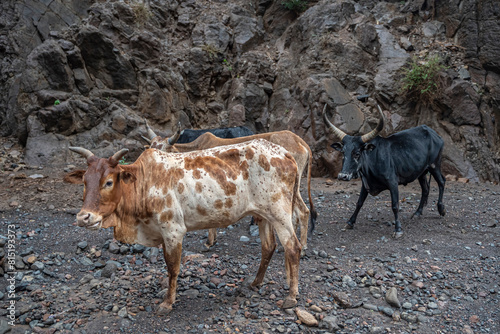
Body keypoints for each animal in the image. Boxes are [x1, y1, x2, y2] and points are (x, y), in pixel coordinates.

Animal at [64, 140, 302, 314]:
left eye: (109, 182)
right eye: (84, 182)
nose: (84, 217)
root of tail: (284, 152)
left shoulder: (173, 230)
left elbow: (173, 267)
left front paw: (167, 303)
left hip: (280, 214)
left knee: (293, 247)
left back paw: (291, 297)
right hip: (263, 215)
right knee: (268, 247)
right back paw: (255, 283)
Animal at [324, 104, 446, 237]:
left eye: (357, 153)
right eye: (343, 153)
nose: (343, 176)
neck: (373, 158)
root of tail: (435, 134)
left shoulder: (393, 183)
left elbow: (395, 205)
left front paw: (398, 229)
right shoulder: (365, 184)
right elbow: (359, 202)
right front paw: (350, 222)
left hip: (435, 165)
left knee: (441, 182)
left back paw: (441, 209)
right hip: (421, 173)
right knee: (425, 189)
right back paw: (417, 213)